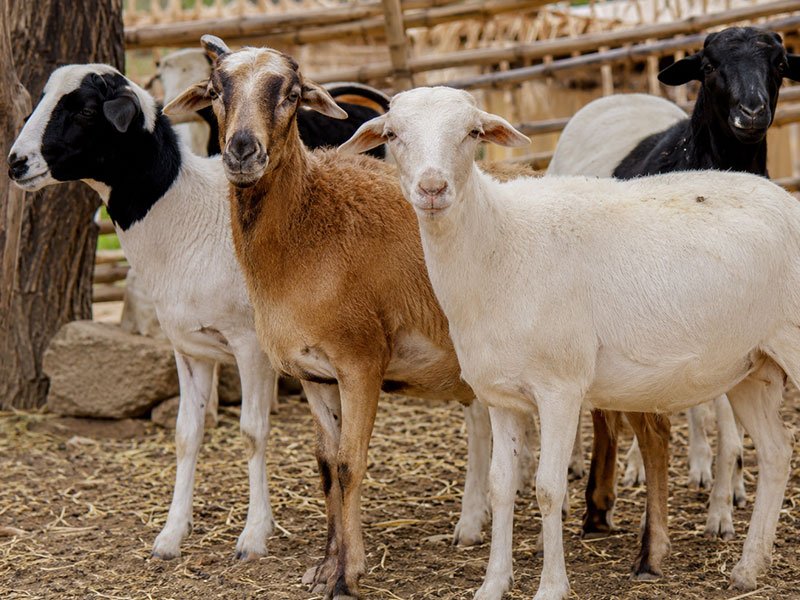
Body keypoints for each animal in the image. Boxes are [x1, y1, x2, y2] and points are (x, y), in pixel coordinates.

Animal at [163, 35, 504, 598]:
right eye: (215, 91)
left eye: (291, 94)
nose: (242, 150)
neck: (309, 230)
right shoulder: (313, 373)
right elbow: (325, 466)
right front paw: (325, 566)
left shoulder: (361, 362)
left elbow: (349, 464)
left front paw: (346, 576)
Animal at [341, 85, 799, 599]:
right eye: (392, 135)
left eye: (473, 133)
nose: (433, 188)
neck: (497, 243)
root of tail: (786, 198)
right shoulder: (501, 396)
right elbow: (501, 486)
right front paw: (493, 584)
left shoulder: (560, 389)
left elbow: (548, 488)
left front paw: (550, 587)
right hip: (752, 365)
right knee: (777, 453)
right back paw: (749, 567)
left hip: (790, 342)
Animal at [548, 26, 800, 547]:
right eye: (709, 65)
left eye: (781, 63)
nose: (752, 112)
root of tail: (619, 94)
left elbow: (720, 415)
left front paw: (723, 500)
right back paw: (587, 464)